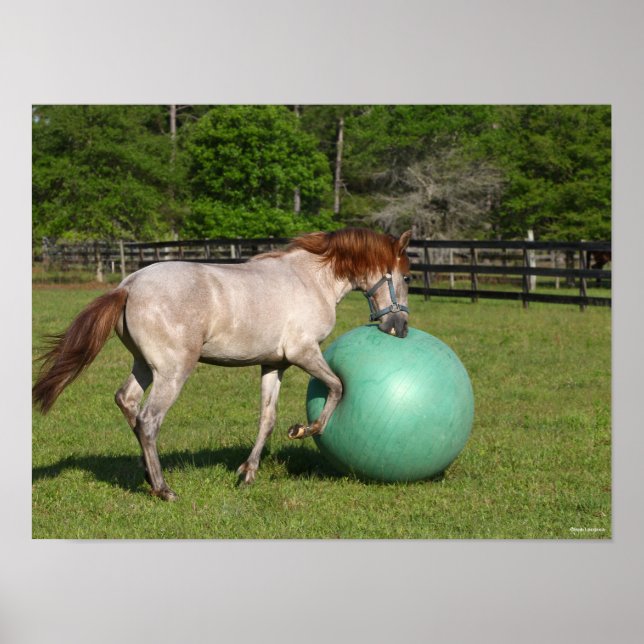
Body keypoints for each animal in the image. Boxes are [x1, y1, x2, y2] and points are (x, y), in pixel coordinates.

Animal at [33, 228, 412, 500]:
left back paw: (146, 472)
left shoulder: (274, 365)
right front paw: (306, 430)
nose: (400, 328)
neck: (312, 279)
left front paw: (248, 473)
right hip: (173, 373)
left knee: (127, 402)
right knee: (148, 421)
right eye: (407, 278)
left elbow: (267, 419)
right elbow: (337, 387)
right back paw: (164, 489)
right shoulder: (304, 353)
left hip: (143, 365)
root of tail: (129, 285)